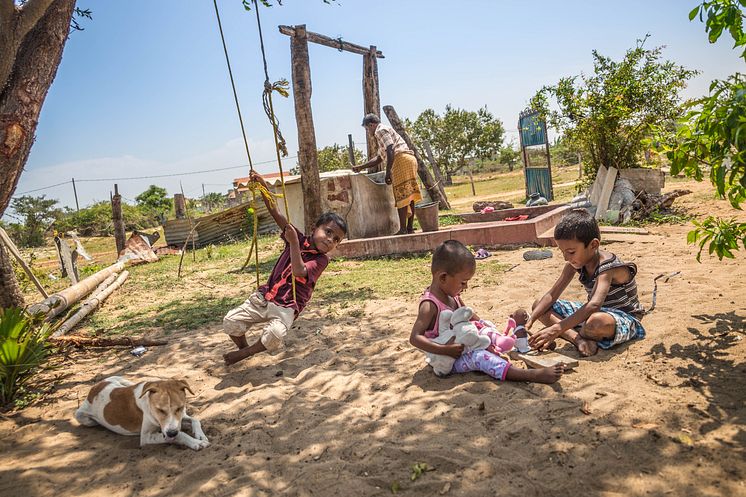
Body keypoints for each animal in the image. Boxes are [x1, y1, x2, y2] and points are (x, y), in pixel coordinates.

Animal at [75, 376, 208, 450]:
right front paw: (196, 442)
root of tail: (94, 388)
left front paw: (200, 435)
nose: (171, 433)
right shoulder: (146, 437)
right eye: (160, 410)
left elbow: (195, 420)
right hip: (81, 417)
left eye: (179, 408)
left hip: (122, 379)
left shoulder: (180, 416)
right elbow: (180, 435)